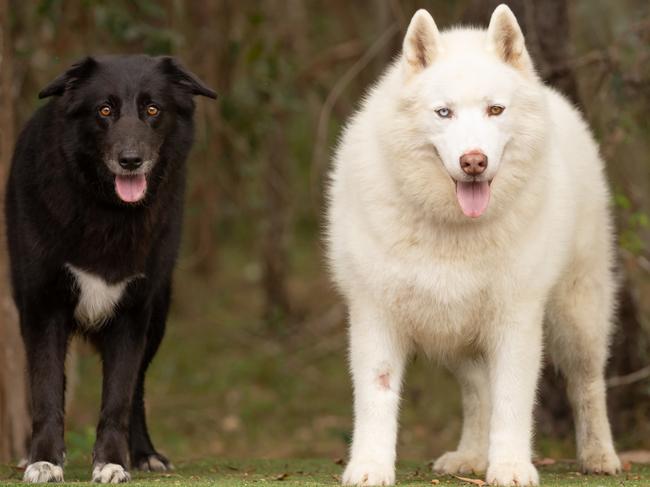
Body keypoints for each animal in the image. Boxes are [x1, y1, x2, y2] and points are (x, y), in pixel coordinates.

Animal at [5, 55, 215, 482]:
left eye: (152, 110)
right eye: (104, 110)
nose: (130, 161)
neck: (106, 211)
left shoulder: (132, 313)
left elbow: (119, 396)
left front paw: (113, 462)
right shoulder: (43, 308)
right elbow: (46, 391)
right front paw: (44, 459)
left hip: (157, 318)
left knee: (137, 390)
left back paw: (146, 453)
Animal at [326, 4, 620, 487]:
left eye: (495, 110)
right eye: (443, 113)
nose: (474, 162)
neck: (452, 230)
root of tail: (555, 97)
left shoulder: (516, 318)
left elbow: (513, 401)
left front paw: (512, 467)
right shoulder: (375, 313)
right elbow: (377, 396)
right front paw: (370, 467)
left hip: (578, 316)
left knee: (587, 385)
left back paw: (599, 455)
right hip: (457, 336)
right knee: (478, 389)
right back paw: (470, 457)